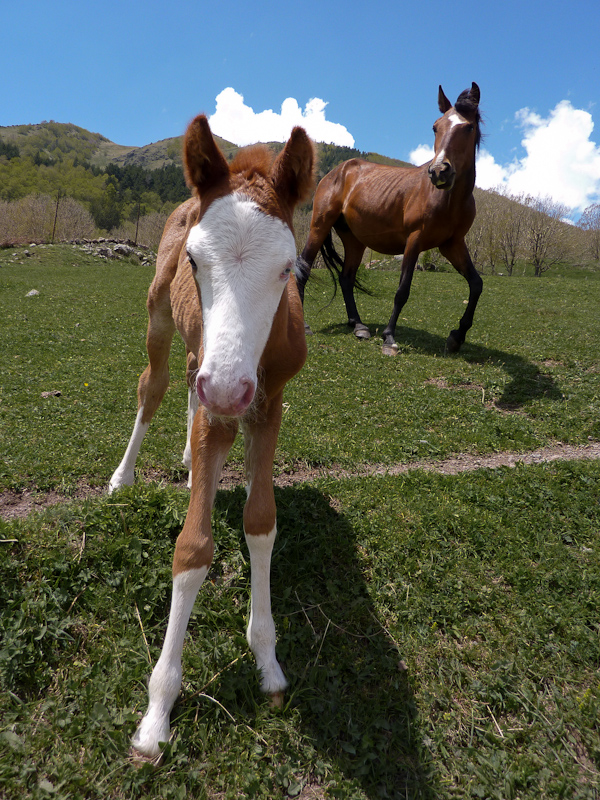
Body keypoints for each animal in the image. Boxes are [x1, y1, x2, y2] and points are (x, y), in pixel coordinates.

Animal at [109, 115, 314, 760]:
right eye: (196, 262)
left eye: (288, 269)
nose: (226, 388)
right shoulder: (215, 396)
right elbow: (193, 547)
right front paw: (156, 712)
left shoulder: (269, 403)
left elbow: (261, 521)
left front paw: (268, 661)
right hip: (161, 320)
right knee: (155, 385)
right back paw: (123, 476)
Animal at [296, 83, 482, 354]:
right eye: (435, 127)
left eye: (468, 127)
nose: (439, 171)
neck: (448, 200)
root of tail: (337, 172)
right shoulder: (414, 241)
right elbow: (402, 290)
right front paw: (389, 337)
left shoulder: (452, 245)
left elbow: (476, 284)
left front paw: (457, 336)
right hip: (319, 226)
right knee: (303, 267)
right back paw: (304, 324)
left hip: (354, 240)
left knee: (346, 278)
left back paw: (358, 325)